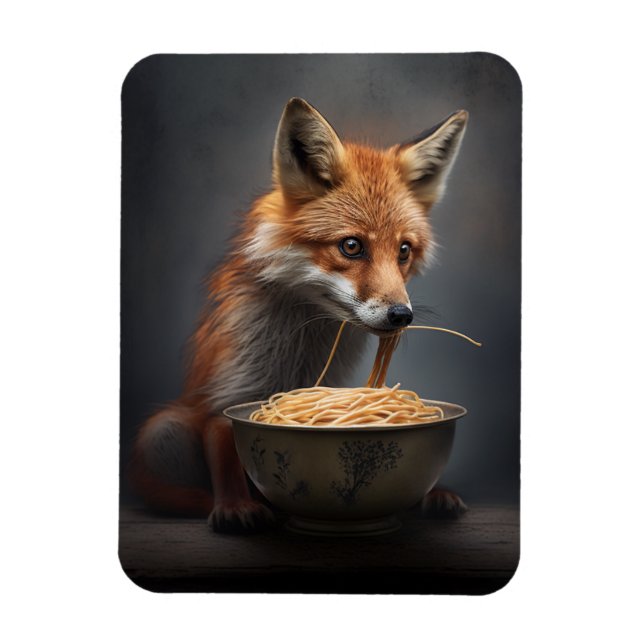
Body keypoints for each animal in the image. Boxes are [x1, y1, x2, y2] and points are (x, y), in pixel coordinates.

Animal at [128, 97, 469, 532]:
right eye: (352, 246)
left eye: (404, 251)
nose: (401, 315)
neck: (299, 353)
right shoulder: (229, 393)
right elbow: (226, 454)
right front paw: (235, 508)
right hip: (162, 431)